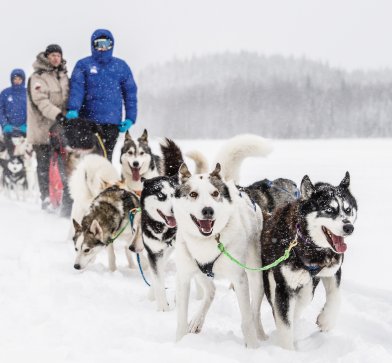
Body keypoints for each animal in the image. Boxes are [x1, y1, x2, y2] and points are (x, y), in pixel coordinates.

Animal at [173, 136, 272, 350]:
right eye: (193, 194)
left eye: (215, 194)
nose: (208, 210)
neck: (207, 241)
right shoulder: (184, 277)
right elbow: (180, 319)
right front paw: (179, 342)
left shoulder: (240, 279)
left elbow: (246, 318)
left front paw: (253, 348)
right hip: (199, 272)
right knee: (211, 291)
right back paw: (197, 320)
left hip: (255, 274)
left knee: (254, 311)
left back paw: (260, 335)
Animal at [262, 173, 356, 350]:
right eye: (329, 210)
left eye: (348, 210)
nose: (349, 228)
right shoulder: (283, 287)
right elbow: (284, 323)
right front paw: (287, 351)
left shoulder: (333, 270)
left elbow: (336, 296)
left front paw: (326, 320)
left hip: (309, 284)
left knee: (302, 300)